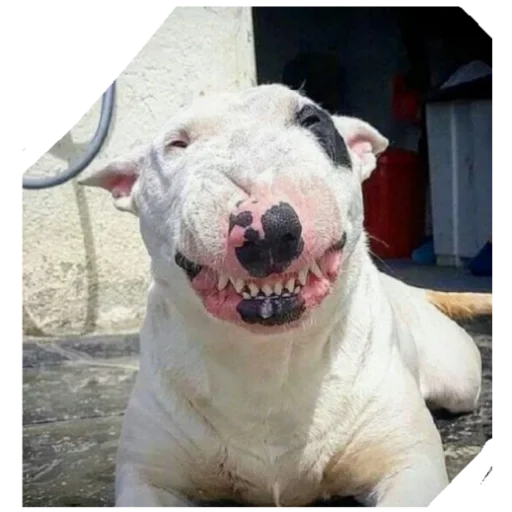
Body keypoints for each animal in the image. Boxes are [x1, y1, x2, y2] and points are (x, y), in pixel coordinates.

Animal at [80, 84, 494, 510]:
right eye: (177, 143)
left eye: (312, 120)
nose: (267, 225)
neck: (268, 357)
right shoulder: (146, 477)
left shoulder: (408, 463)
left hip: (459, 378)